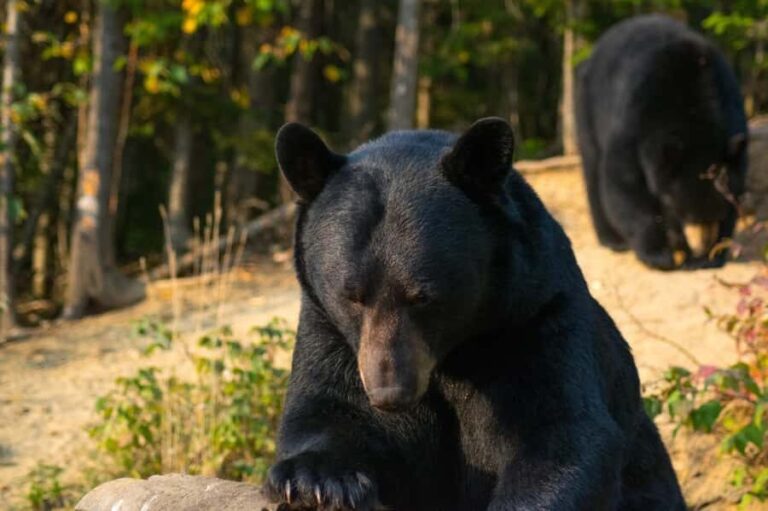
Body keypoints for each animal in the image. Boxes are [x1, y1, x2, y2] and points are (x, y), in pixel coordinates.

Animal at [265, 118, 686, 510]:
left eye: (422, 297)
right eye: (351, 296)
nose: (390, 392)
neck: (454, 354)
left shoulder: (536, 318)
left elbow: (560, 433)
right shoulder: (327, 329)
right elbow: (327, 408)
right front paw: (316, 481)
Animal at [575, 14, 748, 270]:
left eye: (715, 215)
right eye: (680, 210)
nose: (699, 250)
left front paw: (715, 253)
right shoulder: (635, 119)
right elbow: (624, 186)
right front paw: (660, 255)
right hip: (587, 105)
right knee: (593, 169)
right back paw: (613, 240)